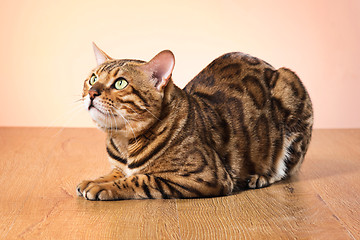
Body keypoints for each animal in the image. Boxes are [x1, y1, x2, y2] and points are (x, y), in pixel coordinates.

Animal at [76, 43, 312, 201]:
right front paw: (95, 180)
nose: (92, 92)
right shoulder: (118, 165)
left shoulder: (206, 177)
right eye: (93, 78)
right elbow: (115, 173)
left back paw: (260, 176)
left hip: (290, 89)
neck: (123, 140)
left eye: (120, 83)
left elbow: (141, 178)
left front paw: (103, 187)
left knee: (284, 169)